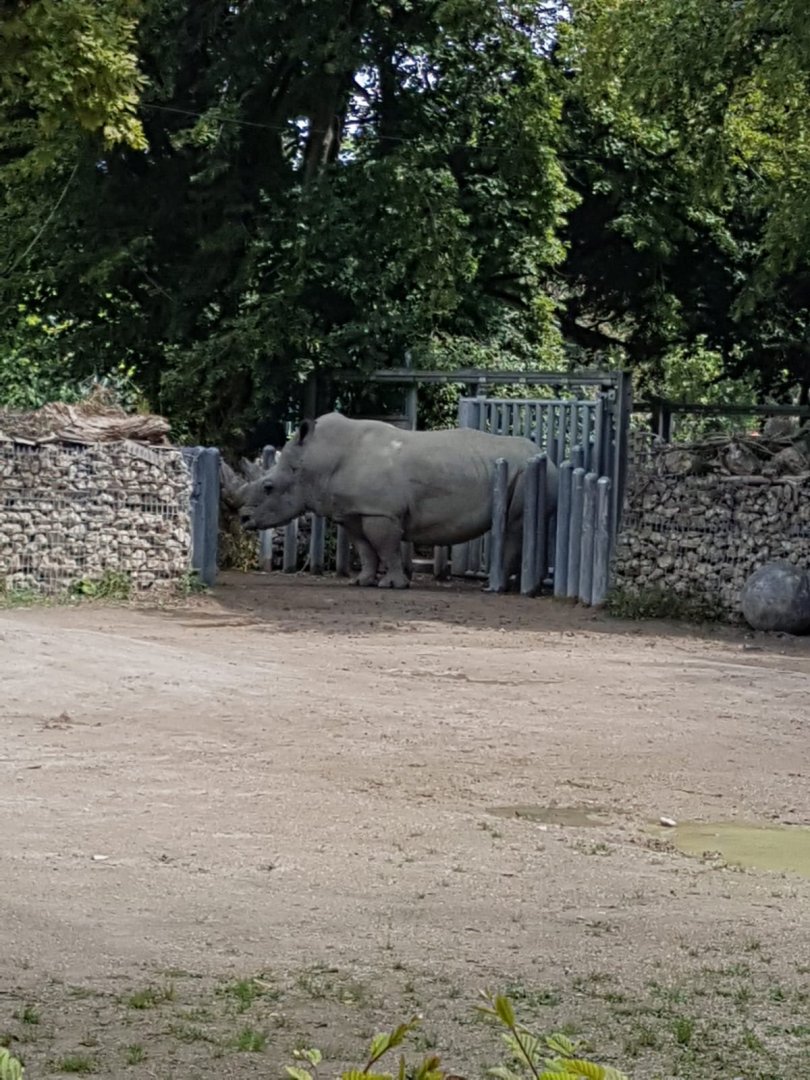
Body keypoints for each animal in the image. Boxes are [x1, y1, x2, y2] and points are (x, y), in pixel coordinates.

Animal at [234, 411, 558, 589]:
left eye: (268, 487)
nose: (243, 519)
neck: (315, 459)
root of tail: (548, 457)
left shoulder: (381, 512)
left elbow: (385, 548)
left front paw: (393, 585)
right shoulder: (354, 511)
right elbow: (364, 548)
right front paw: (361, 581)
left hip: (522, 472)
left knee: (514, 527)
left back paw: (496, 587)